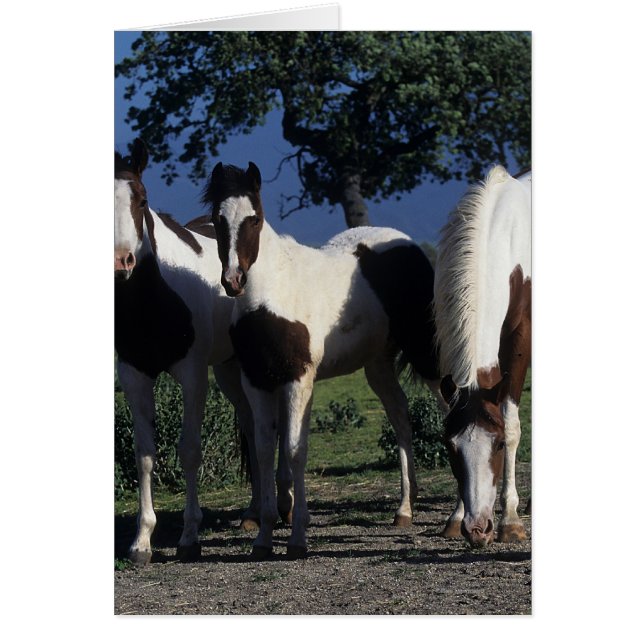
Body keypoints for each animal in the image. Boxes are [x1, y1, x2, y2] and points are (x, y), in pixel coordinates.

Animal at [114, 140, 293, 564]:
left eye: (142, 199)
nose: (122, 260)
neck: (153, 297)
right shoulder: (133, 375)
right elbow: (144, 454)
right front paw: (141, 541)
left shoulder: (193, 375)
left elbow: (190, 450)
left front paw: (189, 537)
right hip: (230, 370)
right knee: (251, 427)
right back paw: (252, 513)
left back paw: (283, 506)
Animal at [201, 161, 442, 560]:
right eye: (217, 219)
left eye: (254, 218)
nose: (234, 280)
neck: (272, 294)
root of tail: (407, 245)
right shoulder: (257, 381)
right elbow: (264, 451)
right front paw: (263, 538)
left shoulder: (299, 379)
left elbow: (295, 450)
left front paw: (298, 538)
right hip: (378, 364)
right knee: (401, 417)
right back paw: (405, 509)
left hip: (427, 353)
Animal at [433, 165, 531, 548]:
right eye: (450, 447)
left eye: (499, 444)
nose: (477, 529)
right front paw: (456, 514)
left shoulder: (520, 339)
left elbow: (513, 421)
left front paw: (511, 520)